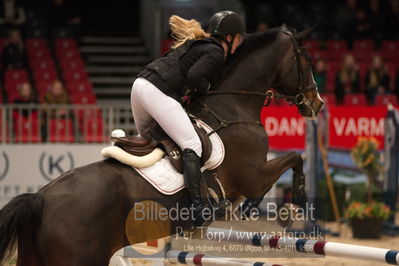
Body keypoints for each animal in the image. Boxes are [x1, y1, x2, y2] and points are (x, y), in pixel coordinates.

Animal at [0, 25, 324, 266]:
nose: (317, 103)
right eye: (307, 61)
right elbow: (294, 159)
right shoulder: (253, 177)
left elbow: (292, 159)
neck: (233, 108)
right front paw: (291, 208)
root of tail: (40, 198)